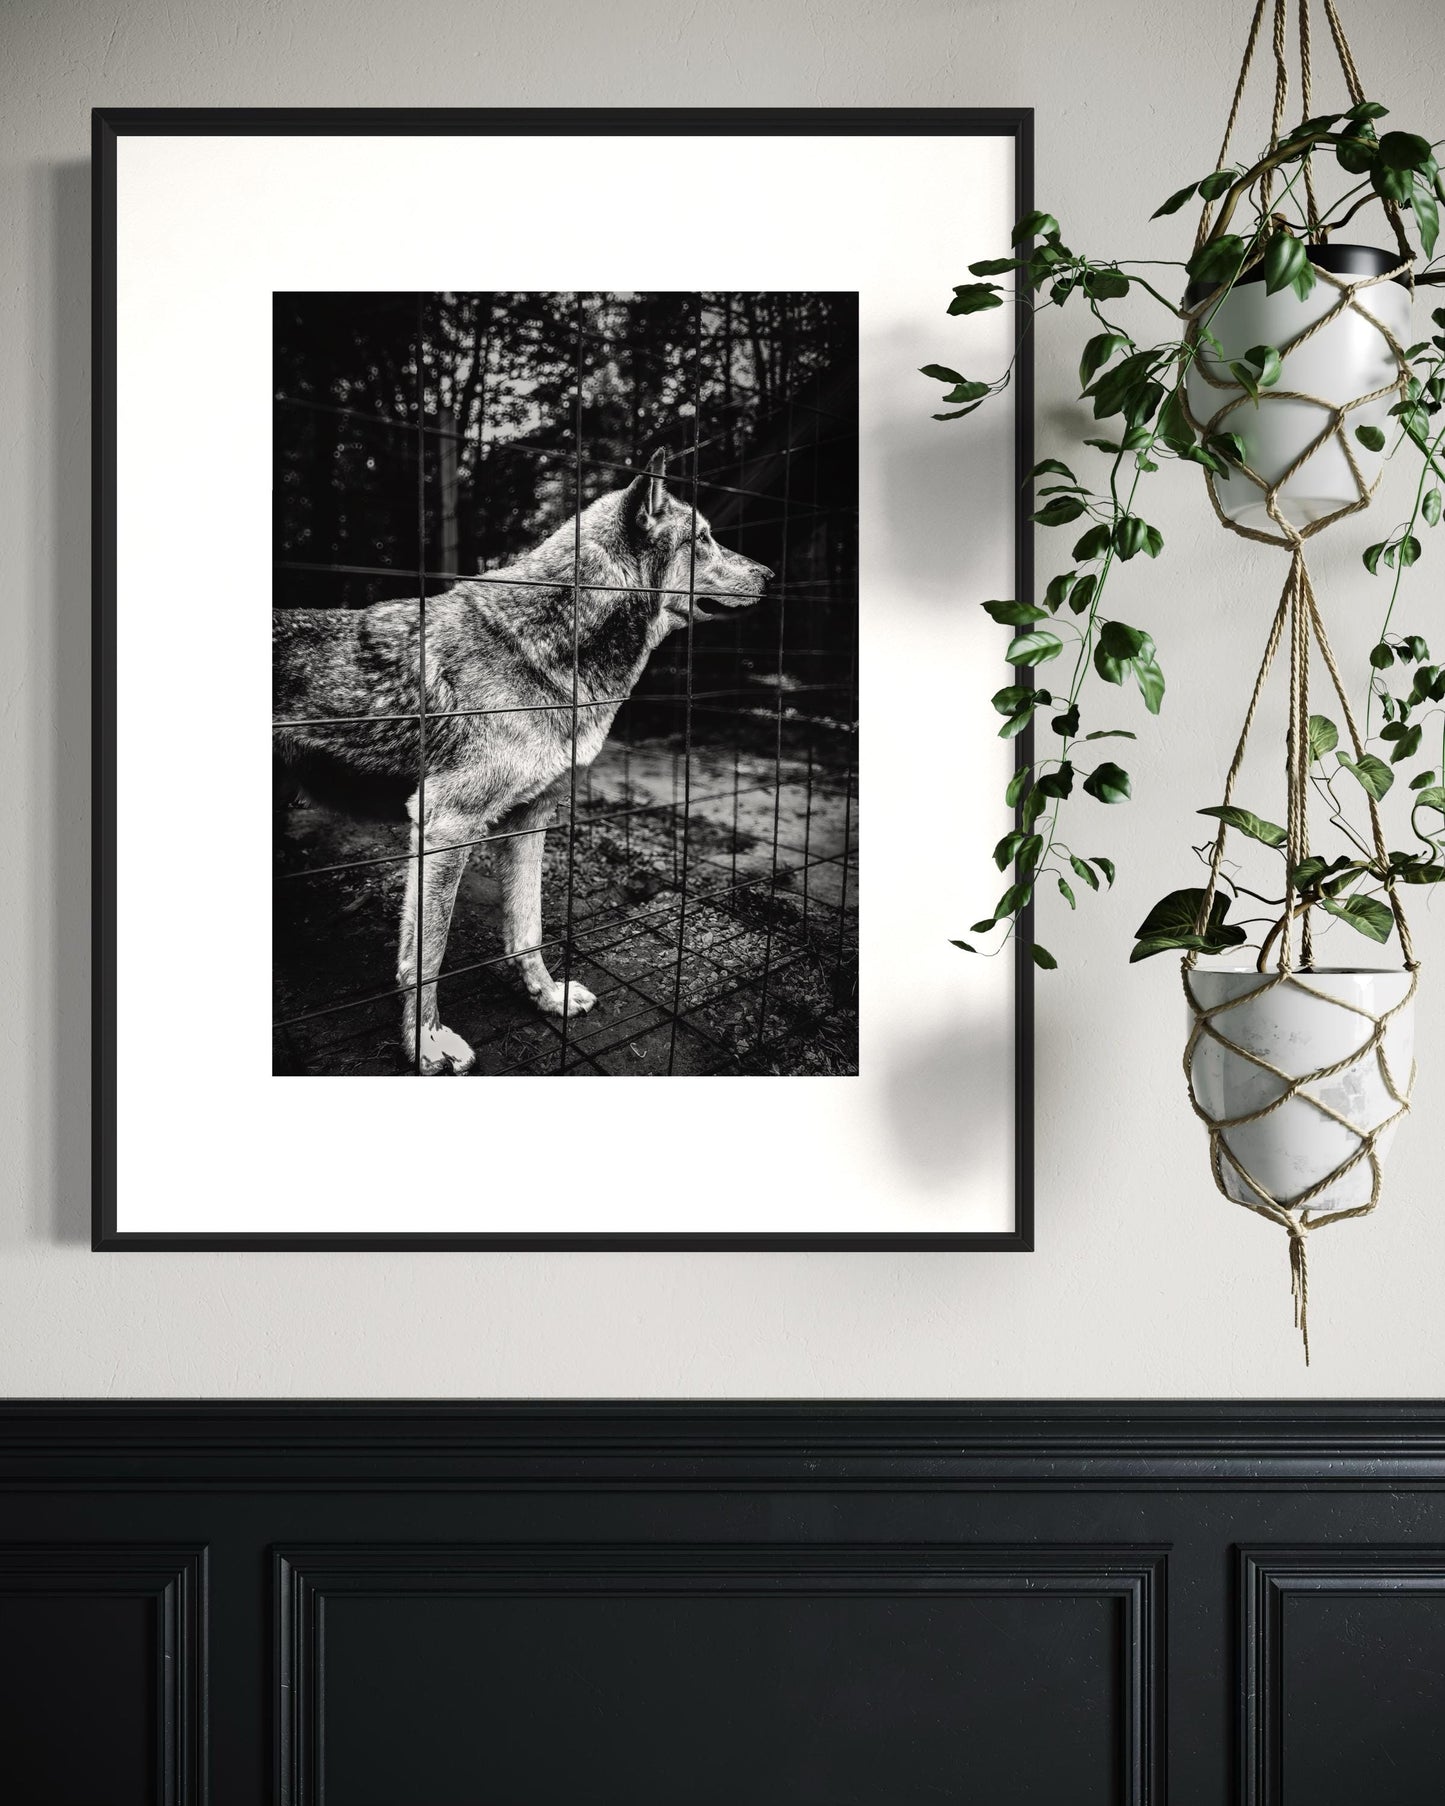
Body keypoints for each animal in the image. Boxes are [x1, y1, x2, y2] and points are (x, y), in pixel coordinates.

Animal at [273, 458, 772, 1073]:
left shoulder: (531, 819)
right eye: (702, 539)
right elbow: (427, 958)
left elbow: (527, 930)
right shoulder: (446, 826)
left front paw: (546, 996)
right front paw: (426, 1043)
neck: (546, 652)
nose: (771, 573)